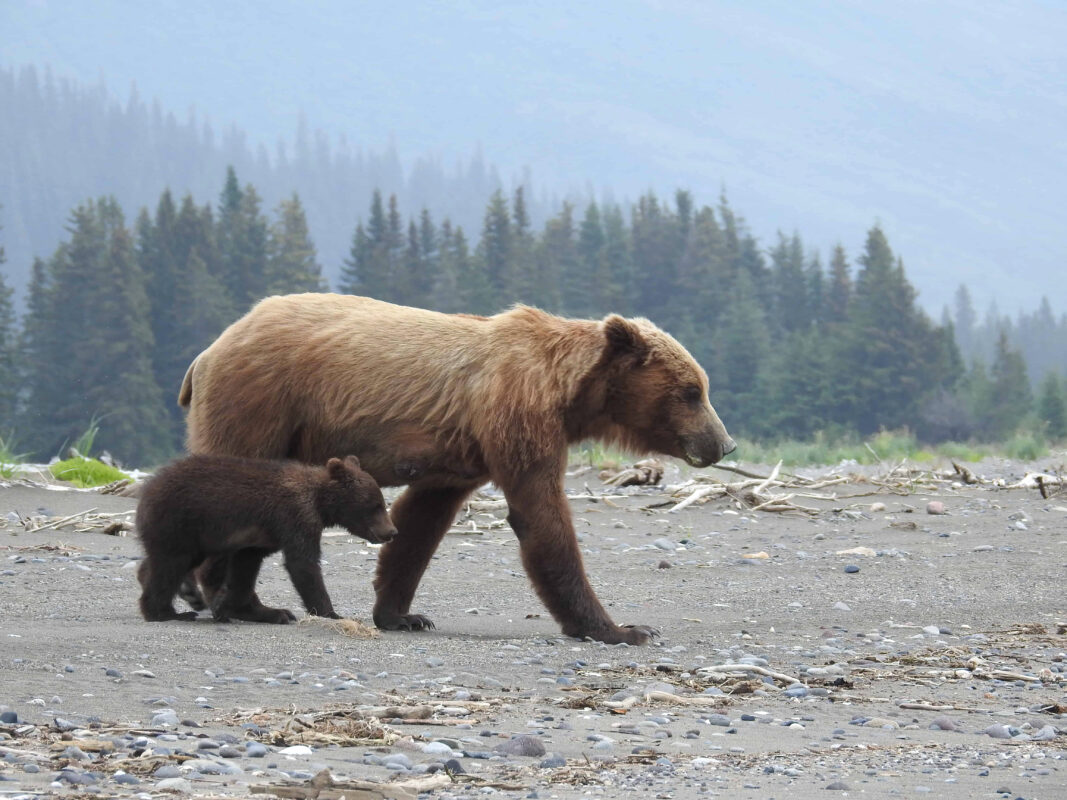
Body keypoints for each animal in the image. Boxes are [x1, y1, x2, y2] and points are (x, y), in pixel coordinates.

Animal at [136, 453, 396, 623]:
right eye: (375, 504)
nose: (392, 531)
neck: (320, 504)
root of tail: (148, 488)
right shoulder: (294, 517)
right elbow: (303, 564)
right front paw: (331, 612)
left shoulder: (260, 537)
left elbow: (245, 569)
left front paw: (246, 609)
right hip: (179, 521)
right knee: (170, 564)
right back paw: (166, 612)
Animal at [178, 293, 735, 644]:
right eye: (692, 391)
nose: (723, 443)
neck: (569, 395)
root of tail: (207, 350)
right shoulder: (517, 419)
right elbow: (542, 518)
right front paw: (622, 628)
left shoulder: (463, 454)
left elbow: (419, 523)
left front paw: (401, 613)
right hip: (260, 403)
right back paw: (226, 596)